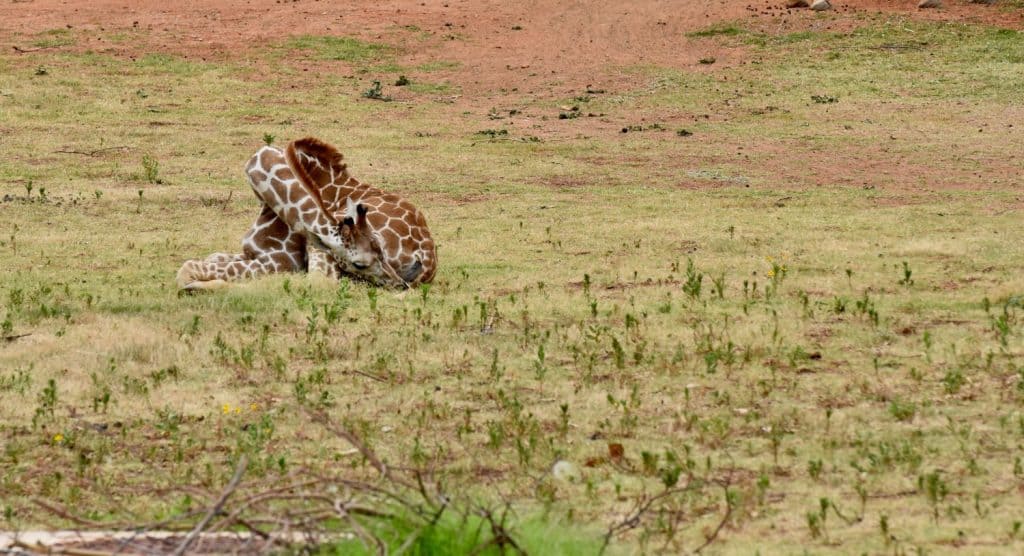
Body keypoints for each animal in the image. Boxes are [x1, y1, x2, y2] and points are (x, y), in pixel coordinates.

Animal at [175, 146, 398, 291]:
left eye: (381, 252)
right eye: (360, 264)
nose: (399, 283)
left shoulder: (280, 262)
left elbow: (189, 267)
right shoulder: (252, 254)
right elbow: (208, 258)